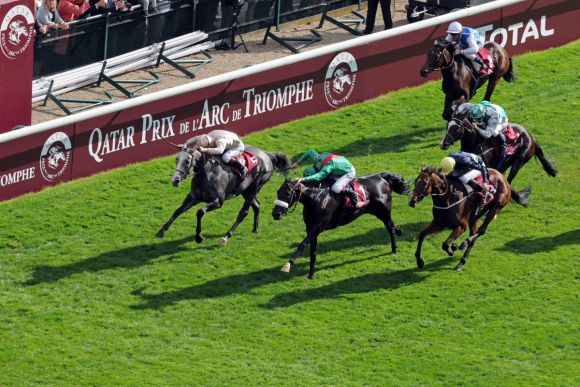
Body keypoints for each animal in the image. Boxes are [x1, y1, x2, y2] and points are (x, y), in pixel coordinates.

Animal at [155, 144, 290, 247]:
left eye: (187, 161)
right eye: (176, 160)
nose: (175, 180)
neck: (206, 175)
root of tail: (267, 155)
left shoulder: (218, 202)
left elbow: (200, 212)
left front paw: (199, 237)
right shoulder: (193, 197)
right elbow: (178, 210)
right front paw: (161, 231)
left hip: (254, 188)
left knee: (244, 212)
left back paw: (226, 236)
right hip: (245, 191)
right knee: (256, 205)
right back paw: (255, 229)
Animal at [270, 173, 408, 278]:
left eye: (287, 194)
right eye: (278, 191)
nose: (276, 214)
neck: (316, 197)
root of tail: (382, 177)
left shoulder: (319, 226)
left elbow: (302, 244)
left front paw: (288, 265)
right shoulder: (311, 228)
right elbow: (313, 252)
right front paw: (310, 274)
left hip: (384, 212)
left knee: (390, 228)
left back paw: (394, 249)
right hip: (380, 212)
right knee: (392, 226)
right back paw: (399, 231)